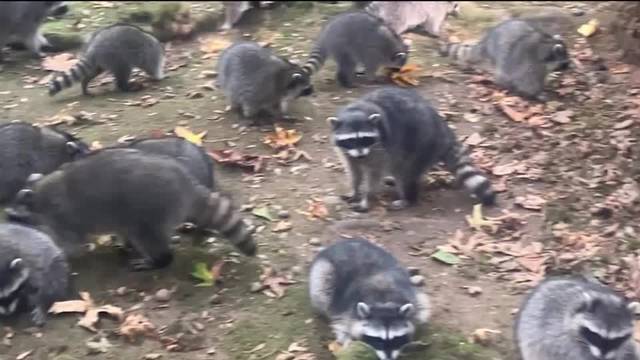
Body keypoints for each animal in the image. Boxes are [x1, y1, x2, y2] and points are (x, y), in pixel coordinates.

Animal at [5, 148, 255, 270]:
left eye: (13, 216)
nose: (8, 223)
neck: (38, 191)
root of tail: (185, 183)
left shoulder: (61, 216)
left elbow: (71, 243)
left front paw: (58, 251)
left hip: (150, 209)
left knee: (147, 237)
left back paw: (158, 260)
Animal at [328, 86, 498, 212]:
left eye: (364, 138)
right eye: (351, 140)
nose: (361, 156)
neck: (355, 111)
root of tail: (442, 128)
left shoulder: (380, 148)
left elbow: (375, 174)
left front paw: (367, 198)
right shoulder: (347, 151)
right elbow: (354, 171)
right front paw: (355, 189)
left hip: (422, 145)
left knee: (406, 174)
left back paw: (408, 199)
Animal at [440, 18, 568, 101]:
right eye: (565, 62)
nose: (569, 67)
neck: (546, 43)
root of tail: (486, 40)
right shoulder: (529, 62)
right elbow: (527, 82)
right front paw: (536, 94)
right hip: (499, 54)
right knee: (504, 72)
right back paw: (505, 85)